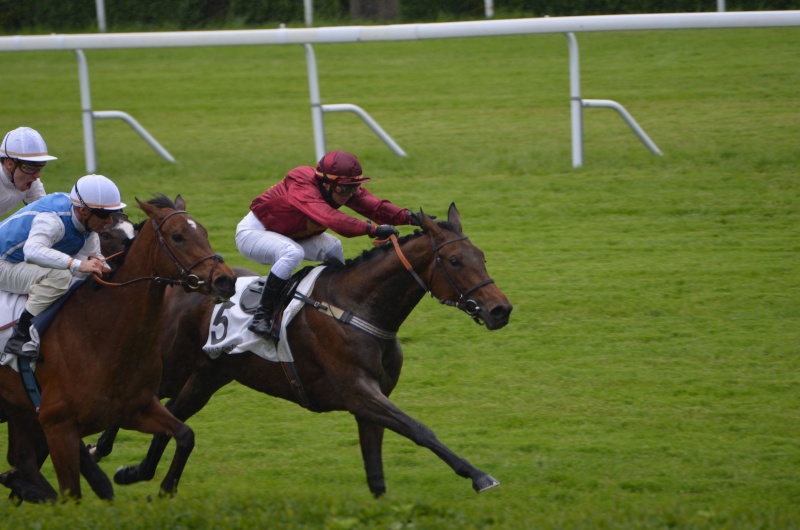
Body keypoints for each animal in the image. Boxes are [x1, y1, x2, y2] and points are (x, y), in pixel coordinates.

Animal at [0, 194, 238, 500]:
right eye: (178, 236)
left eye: (205, 232)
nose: (226, 280)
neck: (101, 334)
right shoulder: (57, 425)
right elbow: (73, 491)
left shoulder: (136, 408)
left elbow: (185, 435)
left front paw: (164, 488)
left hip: (17, 407)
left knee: (22, 460)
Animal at [90, 203, 510, 496]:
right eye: (455, 260)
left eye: (482, 256)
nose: (500, 310)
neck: (357, 308)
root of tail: (182, 281)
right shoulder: (359, 391)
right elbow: (420, 430)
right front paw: (479, 475)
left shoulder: (370, 402)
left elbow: (376, 471)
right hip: (171, 366)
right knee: (139, 400)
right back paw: (100, 451)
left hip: (207, 376)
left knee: (175, 414)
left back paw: (137, 472)